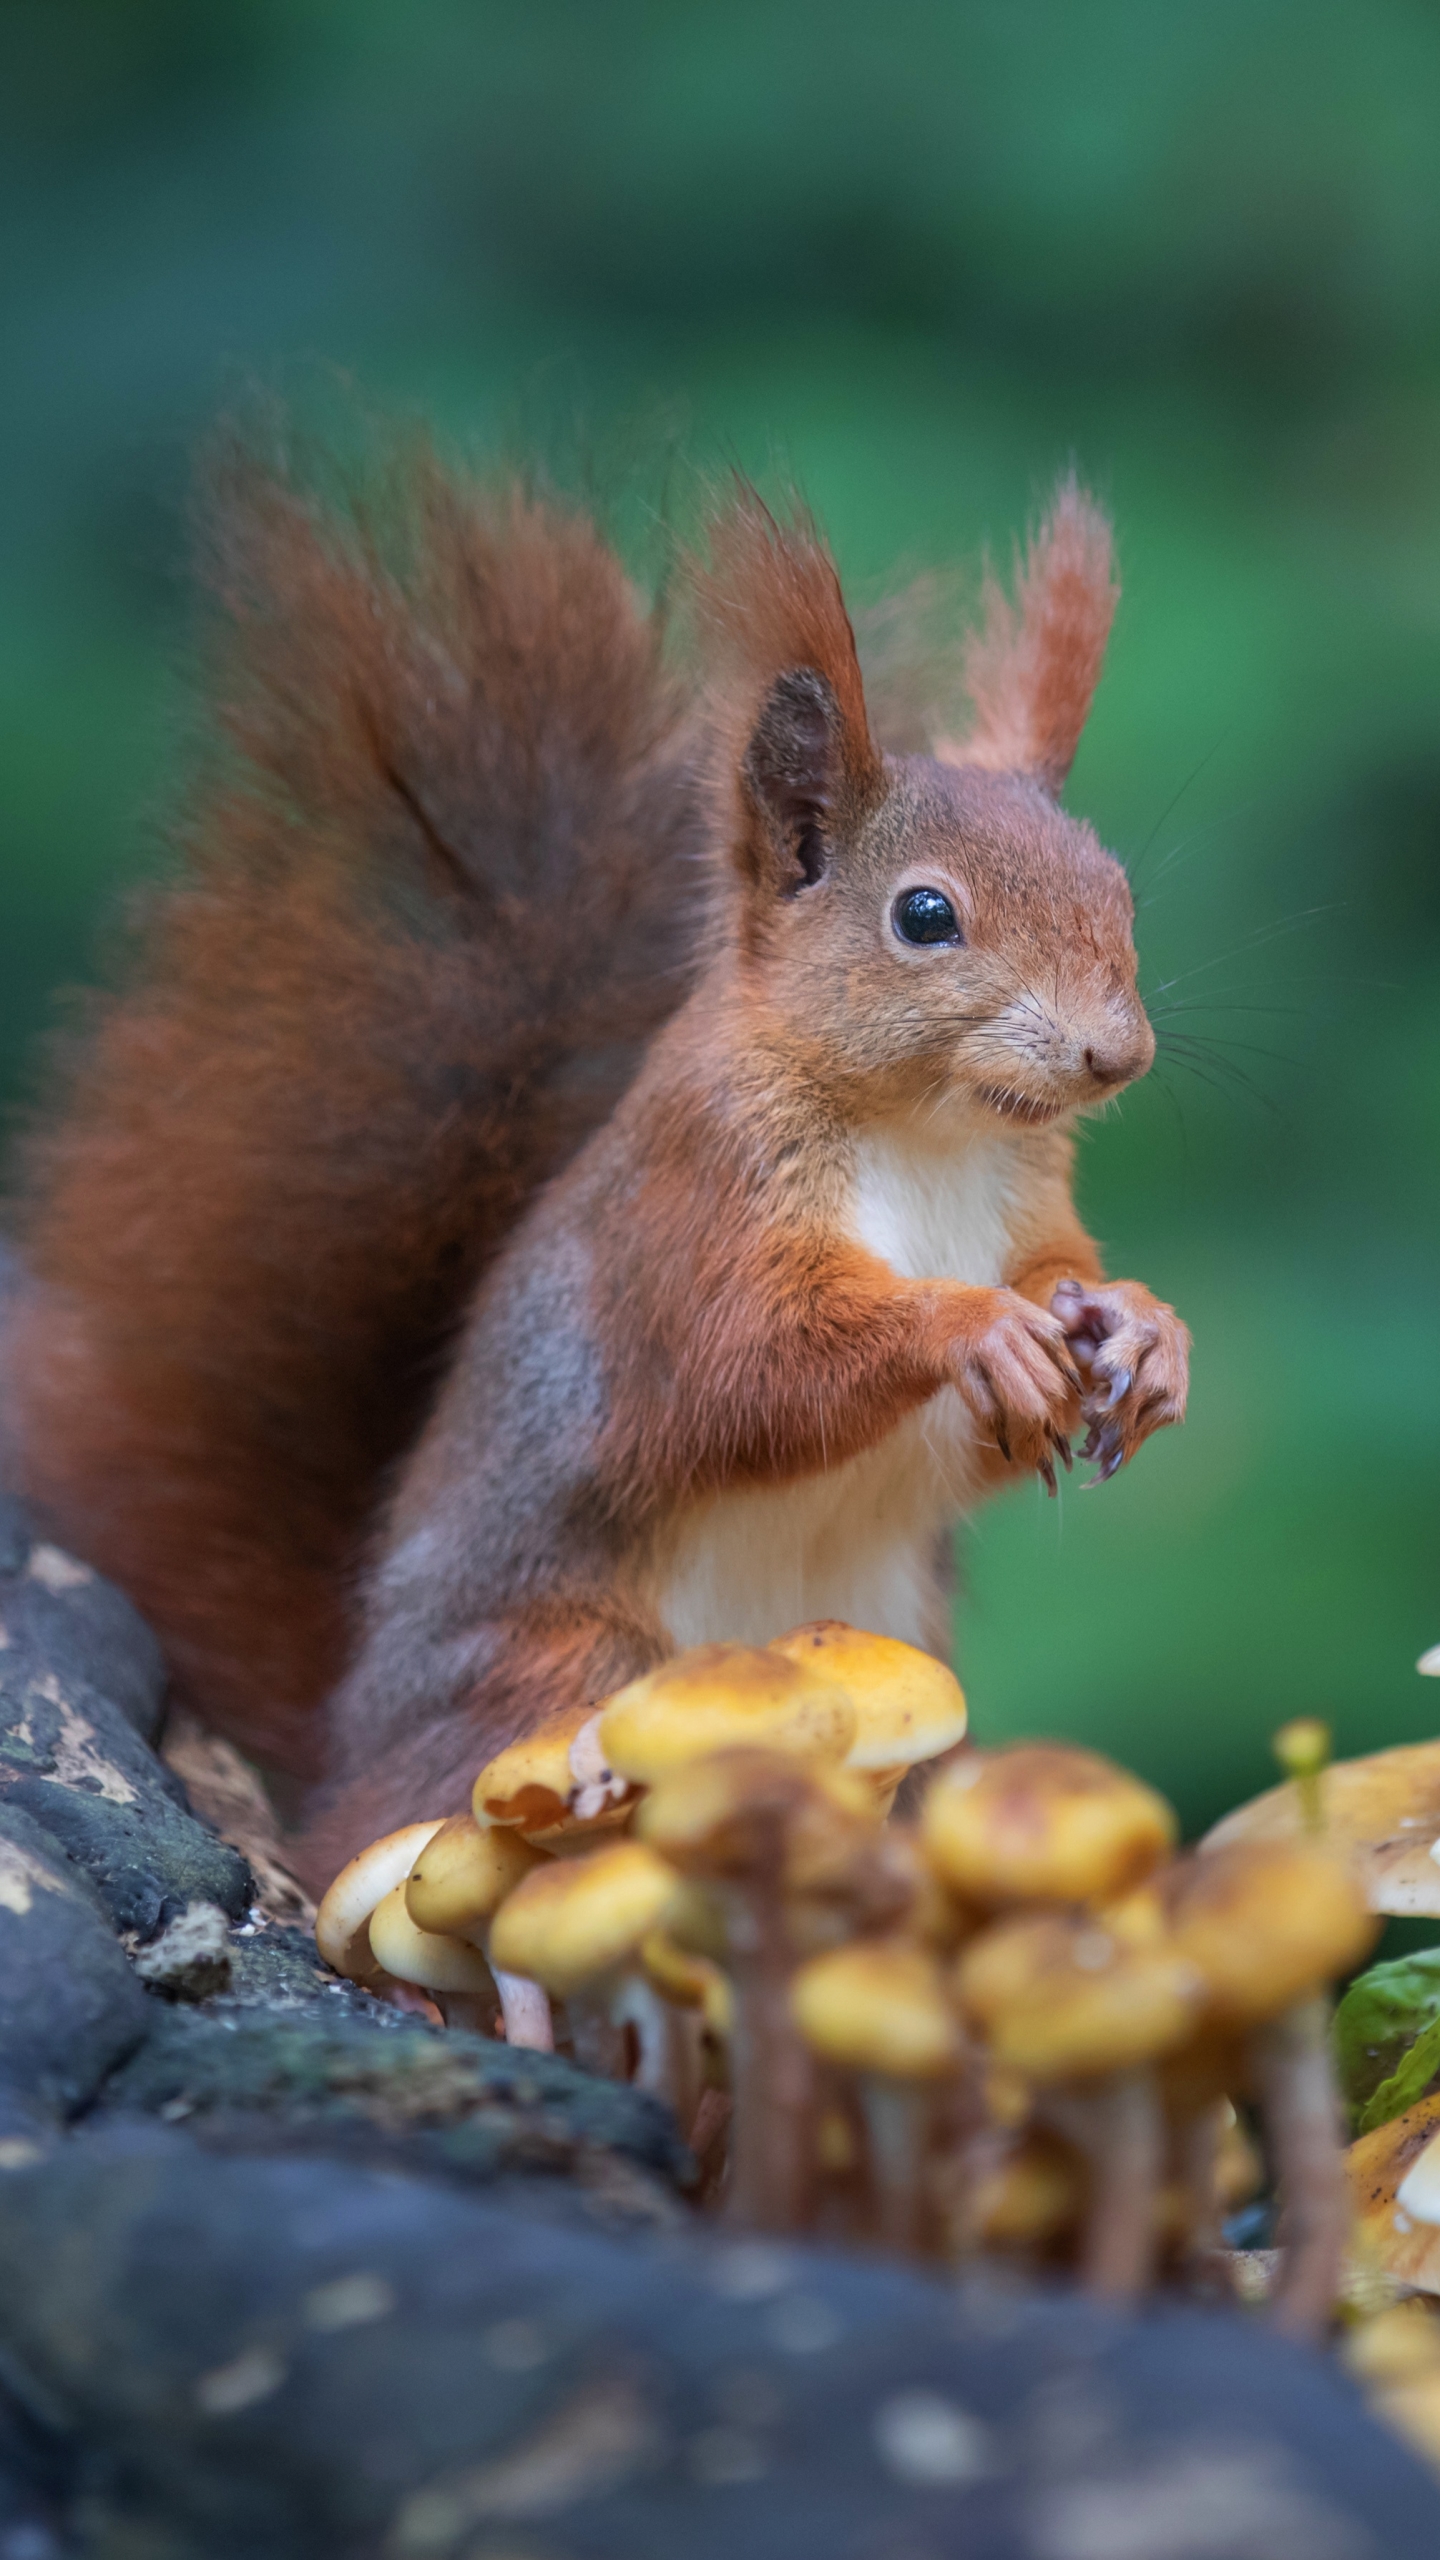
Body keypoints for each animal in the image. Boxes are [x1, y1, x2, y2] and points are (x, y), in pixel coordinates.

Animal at [5, 440, 1183, 1884]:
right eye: (924, 915)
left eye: (1115, 887)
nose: (1116, 1053)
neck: (931, 1136)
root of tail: (342, 1758)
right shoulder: (690, 1208)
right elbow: (750, 1365)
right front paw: (975, 1329)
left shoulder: (1031, 1208)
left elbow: (1043, 1312)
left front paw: (1140, 1328)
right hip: (568, 1670)